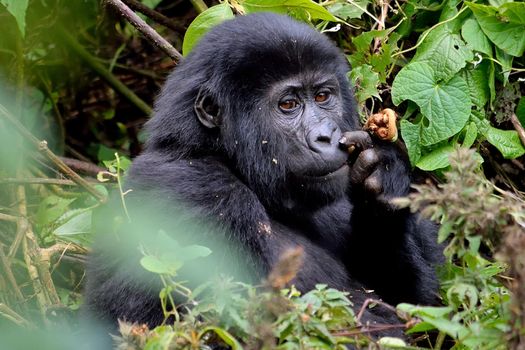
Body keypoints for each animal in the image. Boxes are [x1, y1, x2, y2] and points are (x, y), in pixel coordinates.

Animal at [85, 13, 442, 336]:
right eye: (288, 105)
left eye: (322, 96)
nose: (325, 136)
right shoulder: (198, 190)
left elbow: (422, 308)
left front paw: (383, 184)